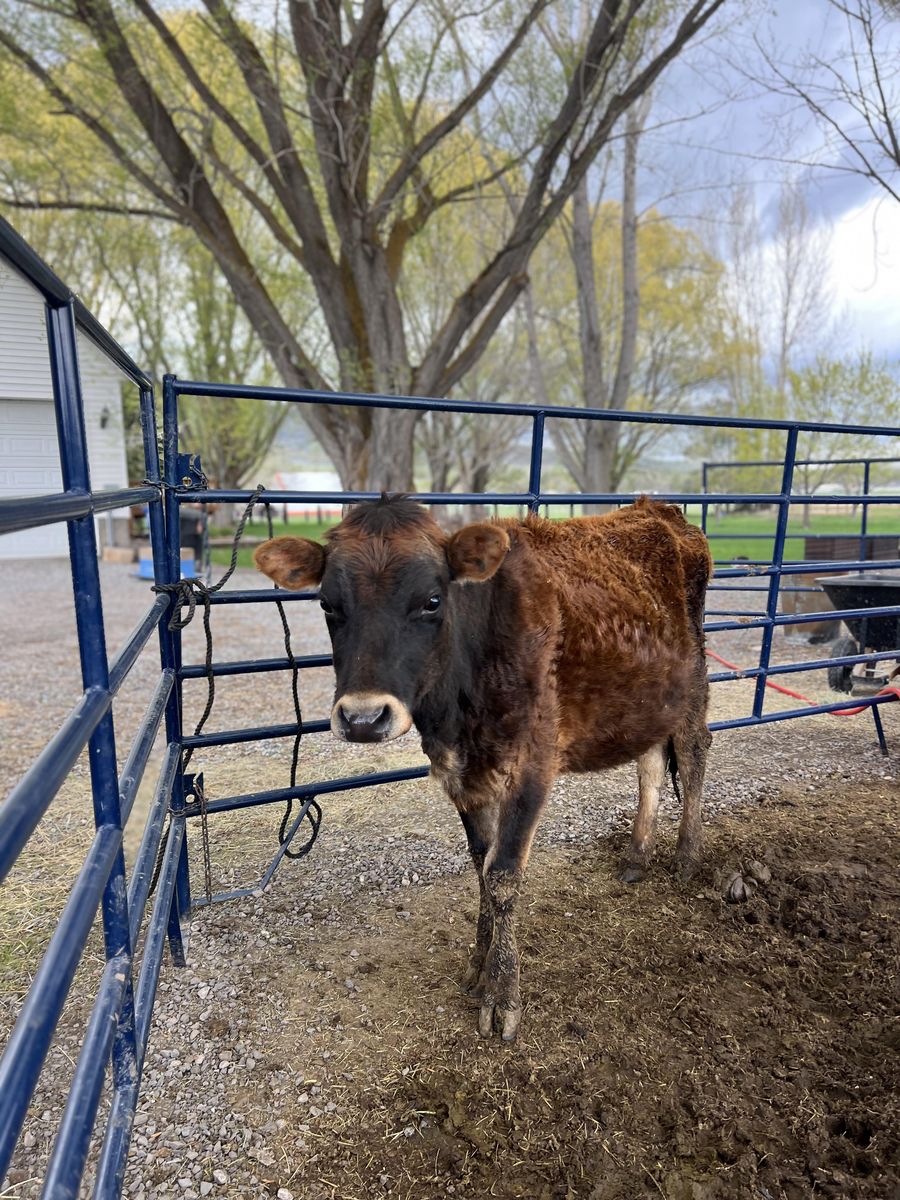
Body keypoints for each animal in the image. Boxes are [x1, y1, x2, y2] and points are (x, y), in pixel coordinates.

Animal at [254, 495, 713, 1041]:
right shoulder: (461, 772)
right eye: (327, 604)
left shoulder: (533, 763)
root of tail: (657, 509)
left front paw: (502, 995)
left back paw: (687, 857)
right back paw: (638, 855)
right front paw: (478, 965)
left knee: (693, 753)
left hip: (693, 680)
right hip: (645, 697)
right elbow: (481, 865)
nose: (363, 718)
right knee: (649, 763)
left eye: (433, 600)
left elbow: (504, 876)